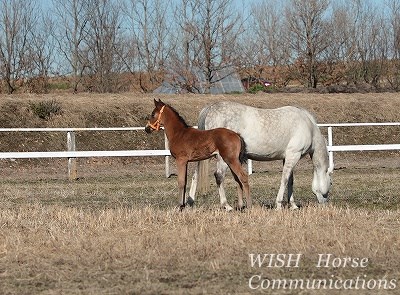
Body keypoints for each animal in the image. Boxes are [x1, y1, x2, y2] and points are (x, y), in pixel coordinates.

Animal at [189, 102, 332, 210]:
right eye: (331, 182)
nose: (325, 203)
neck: (308, 126)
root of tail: (211, 108)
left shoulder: (287, 158)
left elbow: (290, 180)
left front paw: (293, 205)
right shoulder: (293, 156)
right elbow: (284, 180)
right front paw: (279, 204)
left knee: (196, 175)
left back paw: (190, 202)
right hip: (222, 158)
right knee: (219, 176)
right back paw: (226, 205)